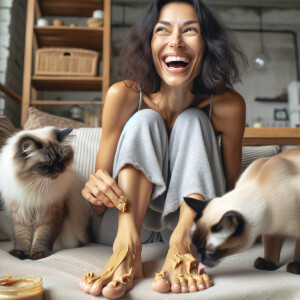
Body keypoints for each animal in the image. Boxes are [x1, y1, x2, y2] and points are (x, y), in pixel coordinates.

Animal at [0, 126, 89, 260]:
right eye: (47, 163)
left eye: (61, 159)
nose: (59, 169)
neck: (33, 184)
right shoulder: (20, 213)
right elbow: (21, 237)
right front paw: (19, 253)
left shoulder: (50, 213)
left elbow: (43, 237)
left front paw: (38, 254)